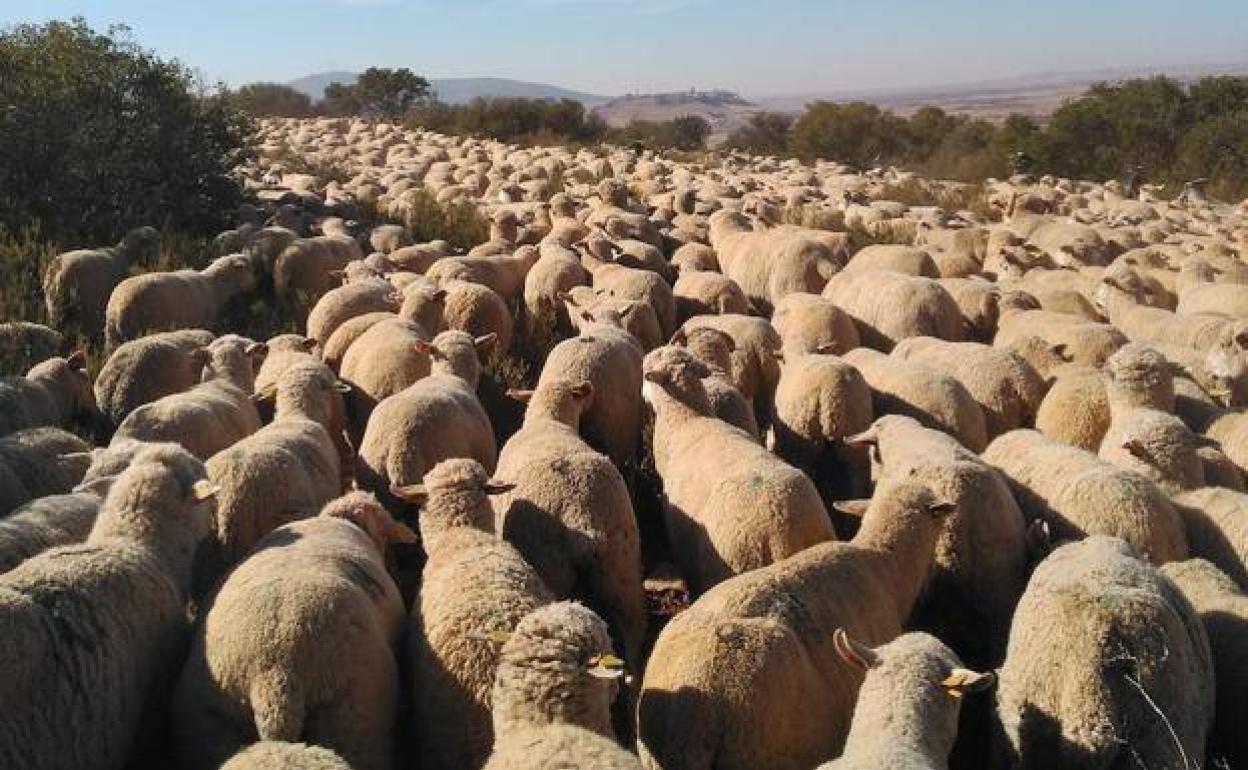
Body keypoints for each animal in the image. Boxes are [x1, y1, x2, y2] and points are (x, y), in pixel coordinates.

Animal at [104, 253, 257, 348]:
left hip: (112, 334)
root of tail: (120, 307)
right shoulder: (204, 323)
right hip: (140, 328)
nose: (255, 285)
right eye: (248, 269)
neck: (215, 287)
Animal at [491, 379, 646, 674]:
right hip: (621, 563)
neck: (548, 419)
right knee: (635, 631)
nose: (587, 385)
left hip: (553, 569)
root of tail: (580, 517)